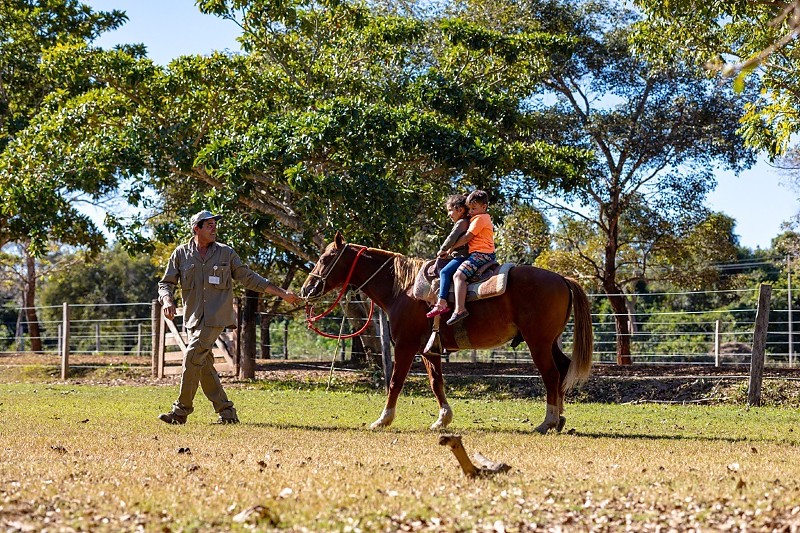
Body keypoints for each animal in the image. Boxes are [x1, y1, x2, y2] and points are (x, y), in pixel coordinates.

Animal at [299, 232, 594, 434]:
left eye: (326, 259)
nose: (306, 289)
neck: (404, 289)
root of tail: (562, 278)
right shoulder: (428, 349)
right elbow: (436, 382)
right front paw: (443, 419)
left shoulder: (405, 345)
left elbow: (395, 382)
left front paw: (383, 419)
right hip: (550, 342)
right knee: (562, 369)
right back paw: (559, 420)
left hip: (538, 342)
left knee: (551, 375)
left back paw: (547, 421)